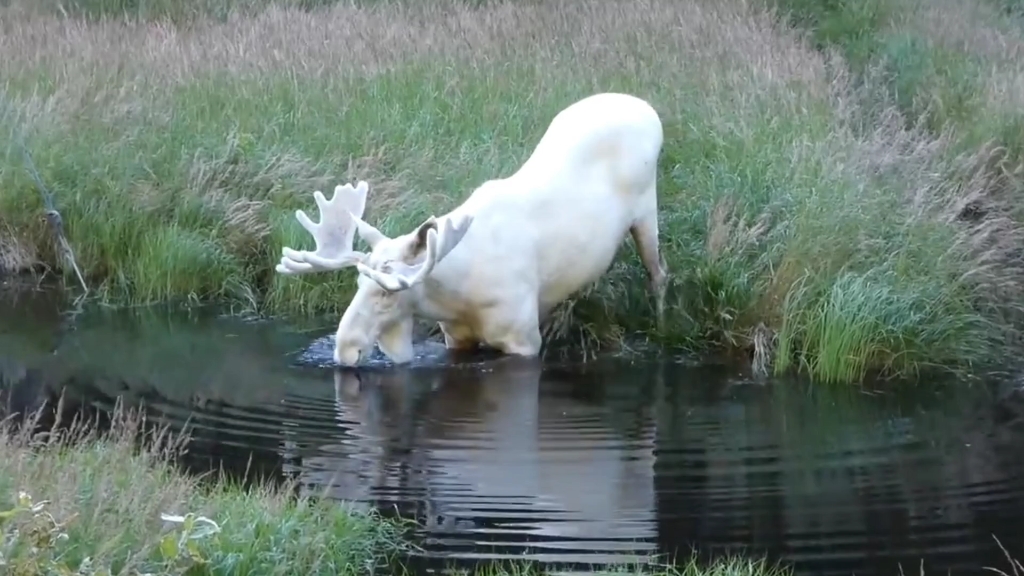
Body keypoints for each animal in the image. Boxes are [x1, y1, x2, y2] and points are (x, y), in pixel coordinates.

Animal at [276, 91, 667, 364]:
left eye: (386, 292)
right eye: (357, 282)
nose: (344, 350)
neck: (455, 296)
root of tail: (648, 109)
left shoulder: (524, 338)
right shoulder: (455, 336)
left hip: (647, 211)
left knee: (659, 273)